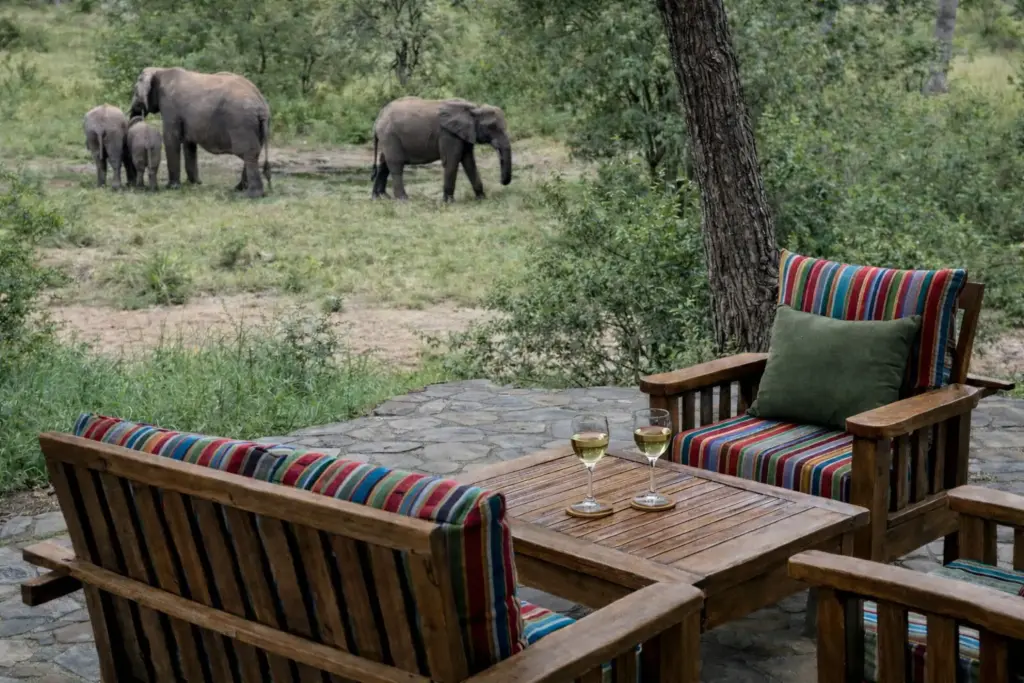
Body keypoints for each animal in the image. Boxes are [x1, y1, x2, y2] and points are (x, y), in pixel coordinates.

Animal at [128, 67, 271, 198]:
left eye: (135, 91)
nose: (138, 113)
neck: (160, 70)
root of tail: (262, 106)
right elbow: (189, 143)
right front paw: (194, 183)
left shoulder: (170, 106)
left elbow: (171, 139)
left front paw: (172, 187)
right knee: (253, 153)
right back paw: (238, 189)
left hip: (241, 122)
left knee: (248, 153)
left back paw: (249, 195)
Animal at [370, 97, 512, 202]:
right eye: (492, 127)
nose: (502, 182)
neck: (474, 108)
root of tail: (378, 117)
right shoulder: (448, 134)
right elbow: (451, 161)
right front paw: (448, 202)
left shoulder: (465, 133)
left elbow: (469, 162)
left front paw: (481, 199)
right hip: (390, 135)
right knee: (396, 164)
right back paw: (403, 200)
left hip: (387, 137)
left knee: (384, 163)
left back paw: (380, 198)